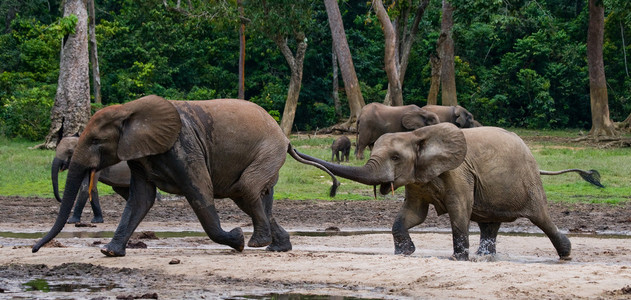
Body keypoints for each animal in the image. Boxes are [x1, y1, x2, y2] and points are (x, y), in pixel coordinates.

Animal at [33, 95, 340, 256]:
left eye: (97, 141)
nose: (35, 249)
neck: (129, 109)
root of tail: (285, 138)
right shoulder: (140, 154)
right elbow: (140, 200)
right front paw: (110, 252)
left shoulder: (184, 147)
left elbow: (199, 192)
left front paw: (237, 240)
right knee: (250, 195)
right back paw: (278, 248)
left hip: (268, 151)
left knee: (247, 189)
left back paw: (257, 242)